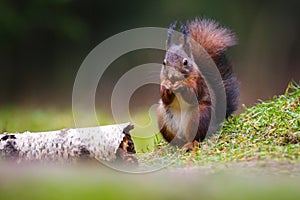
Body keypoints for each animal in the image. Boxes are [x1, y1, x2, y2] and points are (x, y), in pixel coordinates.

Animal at [157, 18, 239, 150]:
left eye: (185, 62)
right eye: (164, 63)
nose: (173, 76)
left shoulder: (198, 81)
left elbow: (193, 95)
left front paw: (182, 86)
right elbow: (165, 99)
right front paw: (166, 87)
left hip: (199, 115)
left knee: (195, 137)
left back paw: (190, 145)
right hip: (163, 117)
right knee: (176, 141)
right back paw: (174, 147)